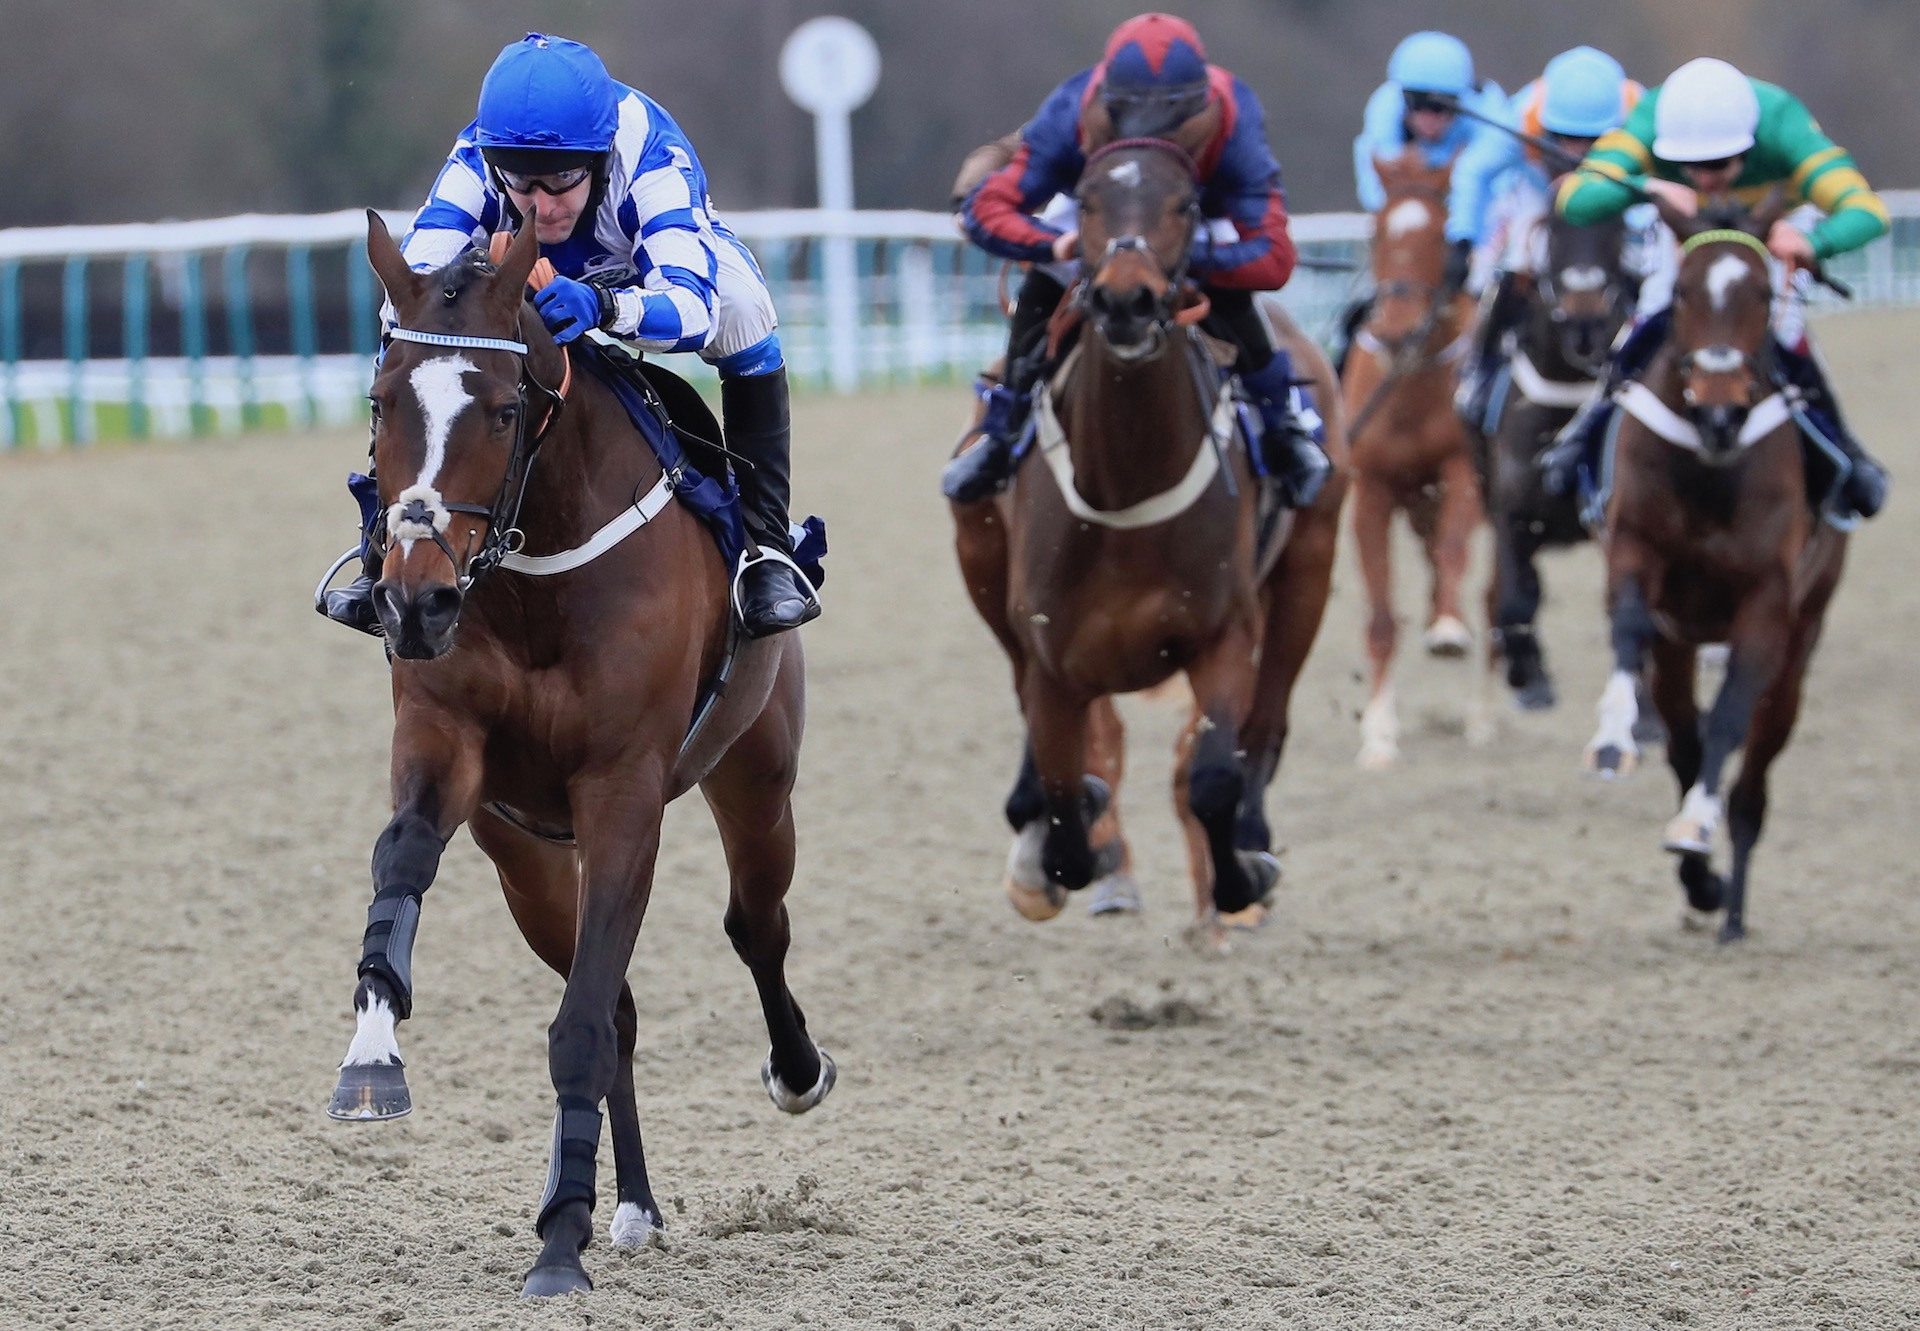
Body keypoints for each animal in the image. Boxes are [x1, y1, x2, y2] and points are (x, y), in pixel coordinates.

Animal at [324, 213, 833, 1290]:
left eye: (504, 409)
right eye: (381, 402)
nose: (414, 599)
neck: (534, 578)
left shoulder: (623, 789)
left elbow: (582, 1023)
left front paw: (560, 1239)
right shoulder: (445, 740)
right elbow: (402, 859)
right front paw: (372, 1053)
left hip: (757, 776)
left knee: (753, 925)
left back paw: (795, 1071)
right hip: (525, 857)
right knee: (623, 1001)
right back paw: (630, 1201)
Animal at [948, 140, 1351, 933]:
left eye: (1187, 204)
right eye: (1087, 199)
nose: (1125, 300)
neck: (1126, 486)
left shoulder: (1222, 633)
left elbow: (1214, 775)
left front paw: (1242, 875)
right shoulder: (1051, 653)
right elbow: (1069, 814)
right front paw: (1064, 839)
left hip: (1308, 570)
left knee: (1268, 720)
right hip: (981, 560)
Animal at [1474, 215, 1628, 718]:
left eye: (1617, 242)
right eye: (1553, 241)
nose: (1585, 325)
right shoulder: (1511, 514)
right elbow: (1517, 597)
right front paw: (1529, 678)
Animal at [1582, 199, 1850, 944]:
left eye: (1761, 291)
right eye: (1681, 292)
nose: (1722, 408)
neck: (1709, 467)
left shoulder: (1768, 603)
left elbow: (1729, 719)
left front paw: (1697, 828)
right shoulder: (1635, 552)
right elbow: (1628, 631)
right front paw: (1611, 739)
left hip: (1801, 644)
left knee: (1752, 776)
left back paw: (1729, 906)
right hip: (1680, 645)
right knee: (1682, 740)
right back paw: (1702, 885)